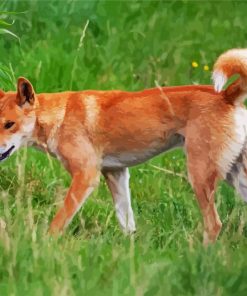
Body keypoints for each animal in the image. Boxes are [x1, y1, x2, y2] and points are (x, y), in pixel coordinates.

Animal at [0, 48, 247, 244]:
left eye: (9, 124)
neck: (60, 115)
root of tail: (226, 95)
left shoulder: (86, 176)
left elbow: (58, 221)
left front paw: (44, 245)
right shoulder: (116, 174)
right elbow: (126, 223)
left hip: (200, 175)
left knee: (214, 225)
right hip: (235, 176)